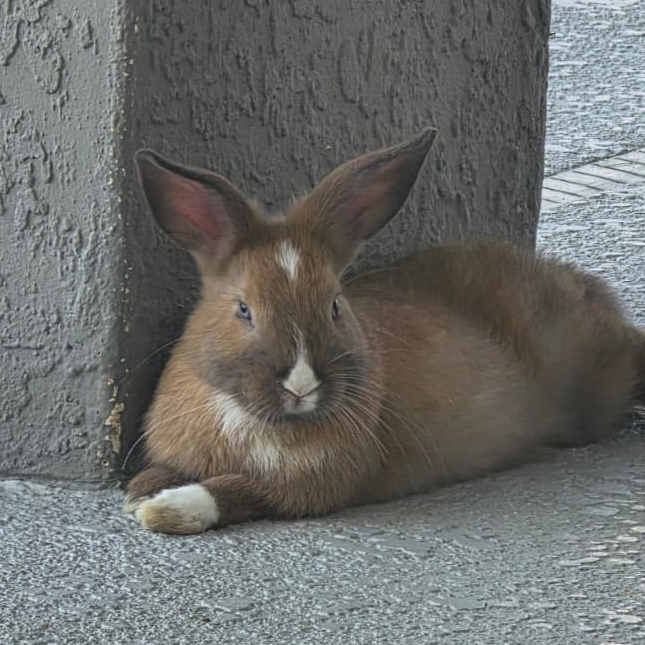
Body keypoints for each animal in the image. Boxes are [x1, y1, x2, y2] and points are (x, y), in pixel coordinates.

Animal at [125, 127, 645, 534]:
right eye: (244, 309)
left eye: (336, 306)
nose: (301, 385)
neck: (251, 418)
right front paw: (141, 491)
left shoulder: (308, 487)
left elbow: (237, 491)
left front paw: (165, 509)